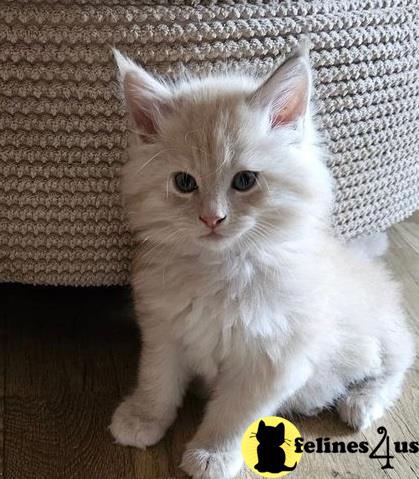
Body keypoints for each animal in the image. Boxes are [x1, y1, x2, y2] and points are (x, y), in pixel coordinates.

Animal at [110, 49, 416, 479]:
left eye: (245, 181)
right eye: (185, 183)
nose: (212, 218)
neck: (221, 272)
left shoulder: (270, 363)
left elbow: (230, 416)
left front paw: (211, 456)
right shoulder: (165, 333)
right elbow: (158, 384)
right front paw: (142, 419)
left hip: (380, 342)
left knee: (395, 368)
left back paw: (359, 403)